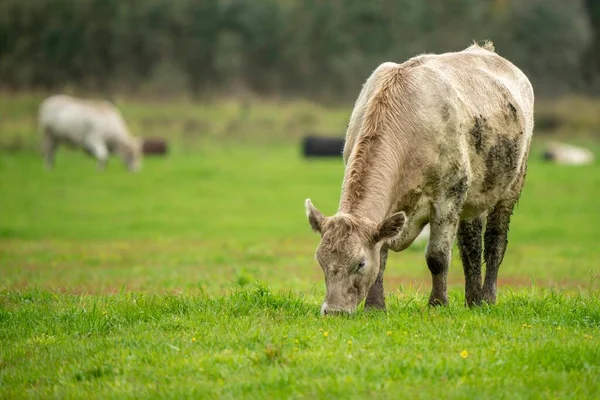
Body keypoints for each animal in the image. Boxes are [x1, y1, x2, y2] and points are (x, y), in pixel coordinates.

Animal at [304, 42, 536, 314]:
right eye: (321, 260)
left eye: (360, 263)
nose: (334, 311)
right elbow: (382, 254)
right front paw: (375, 306)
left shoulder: (448, 197)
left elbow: (437, 257)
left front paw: (438, 303)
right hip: (474, 196)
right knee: (471, 244)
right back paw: (473, 299)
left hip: (511, 185)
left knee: (494, 243)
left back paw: (487, 297)